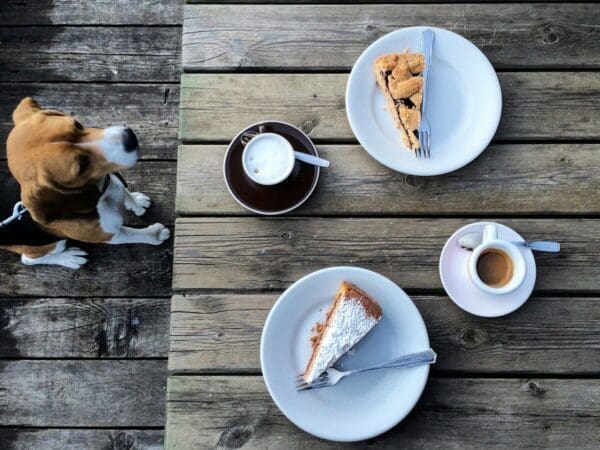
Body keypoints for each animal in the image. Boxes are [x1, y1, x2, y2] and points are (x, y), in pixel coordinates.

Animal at [0, 97, 169, 268]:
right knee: (28, 259)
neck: (102, 193)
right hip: (48, 245)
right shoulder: (109, 236)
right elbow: (133, 234)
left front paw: (135, 202)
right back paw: (70, 258)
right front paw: (155, 234)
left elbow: (122, 188)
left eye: (77, 124)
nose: (130, 137)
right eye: (82, 166)